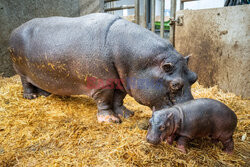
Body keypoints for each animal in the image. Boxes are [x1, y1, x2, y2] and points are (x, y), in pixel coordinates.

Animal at [9, 13, 197, 123]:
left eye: (194, 77)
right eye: (175, 85)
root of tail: (15, 29)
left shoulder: (122, 81)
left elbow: (119, 99)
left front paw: (127, 114)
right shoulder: (102, 83)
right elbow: (105, 100)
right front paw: (110, 120)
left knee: (39, 83)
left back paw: (45, 94)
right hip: (20, 69)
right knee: (25, 82)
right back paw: (31, 96)